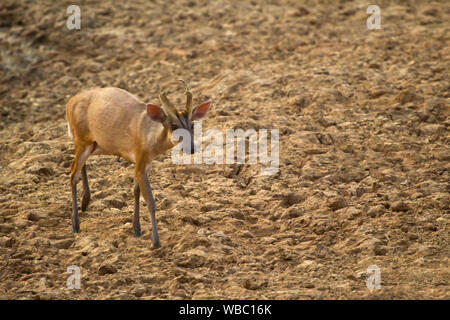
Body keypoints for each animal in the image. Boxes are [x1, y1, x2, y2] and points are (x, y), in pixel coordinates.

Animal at [66, 80, 212, 248]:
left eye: (192, 125)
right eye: (174, 126)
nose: (191, 148)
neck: (150, 136)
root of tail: (70, 102)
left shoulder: (143, 164)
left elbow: (136, 192)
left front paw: (137, 229)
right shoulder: (140, 161)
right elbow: (150, 200)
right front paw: (156, 241)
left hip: (95, 144)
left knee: (80, 165)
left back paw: (85, 201)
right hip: (81, 140)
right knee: (73, 173)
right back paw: (75, 224)